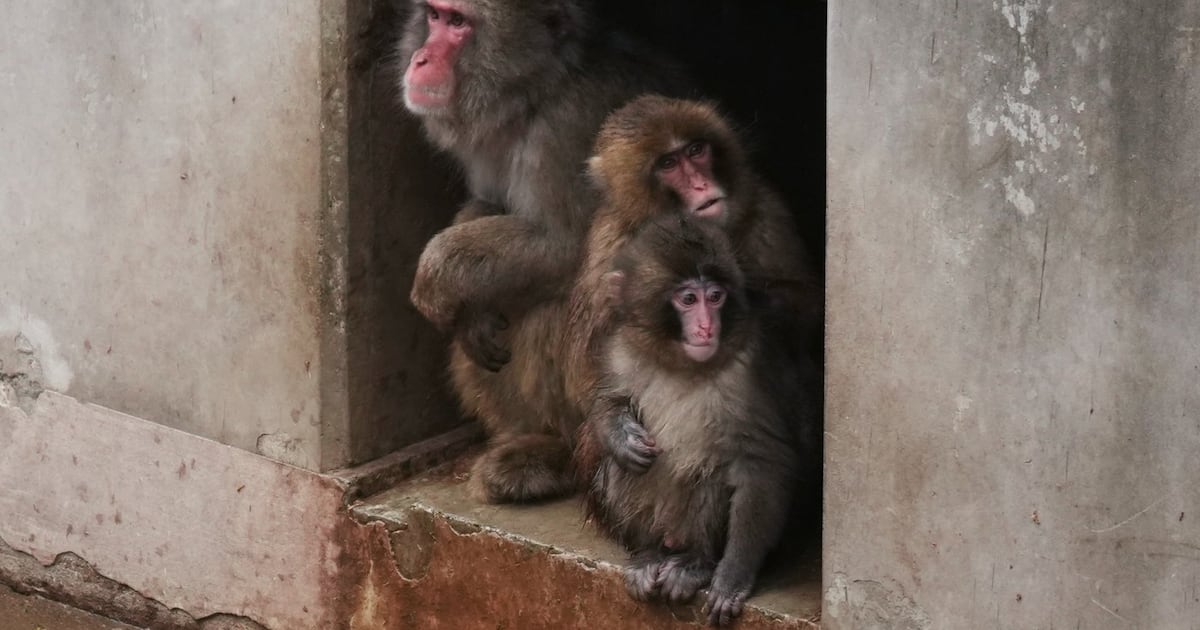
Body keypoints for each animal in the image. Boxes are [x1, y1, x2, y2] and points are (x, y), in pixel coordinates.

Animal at [396, 1, 689, 502]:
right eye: (434, 16)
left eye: (458, 23)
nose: (420, 58)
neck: (536, 94)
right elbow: (488, 204)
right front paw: (472, 313)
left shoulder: (569, 130)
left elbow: (568, 247)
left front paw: (436, 274)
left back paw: (559, 457)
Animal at [563, 95, 821, 424]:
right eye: (668, 164)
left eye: (696, 150)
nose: (701, 184)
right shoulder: (608, 247)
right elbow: (583, 374)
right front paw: (614, 422)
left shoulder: (765, 207)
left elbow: (808, 304)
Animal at [575, 215, 819, 626]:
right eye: (688, 299)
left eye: (715, 297)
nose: (706, 327)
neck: (681, 364)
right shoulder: (621, 348)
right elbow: (605, 401)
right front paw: (620, 436)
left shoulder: (748, 372)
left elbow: (763, 462)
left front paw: (733, 575)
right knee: (621, 469)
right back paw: (649, 554)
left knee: (712, 475)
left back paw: (695, 563)